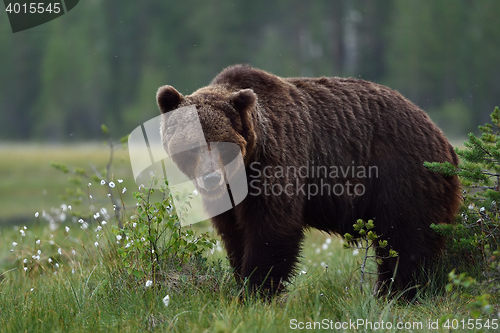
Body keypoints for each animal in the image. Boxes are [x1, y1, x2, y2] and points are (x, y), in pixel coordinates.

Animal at [156, 64, 460, 296]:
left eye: (222, 145)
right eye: (192, 146)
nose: (210, 179)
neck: (244, 167)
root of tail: (444, 138)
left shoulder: (278, 161)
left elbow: (271, 229)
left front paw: (256, 290)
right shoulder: (229, 198)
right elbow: (233, 234)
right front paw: (241, 279)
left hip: (402, 176)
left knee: (406, 239)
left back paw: (398, 292)